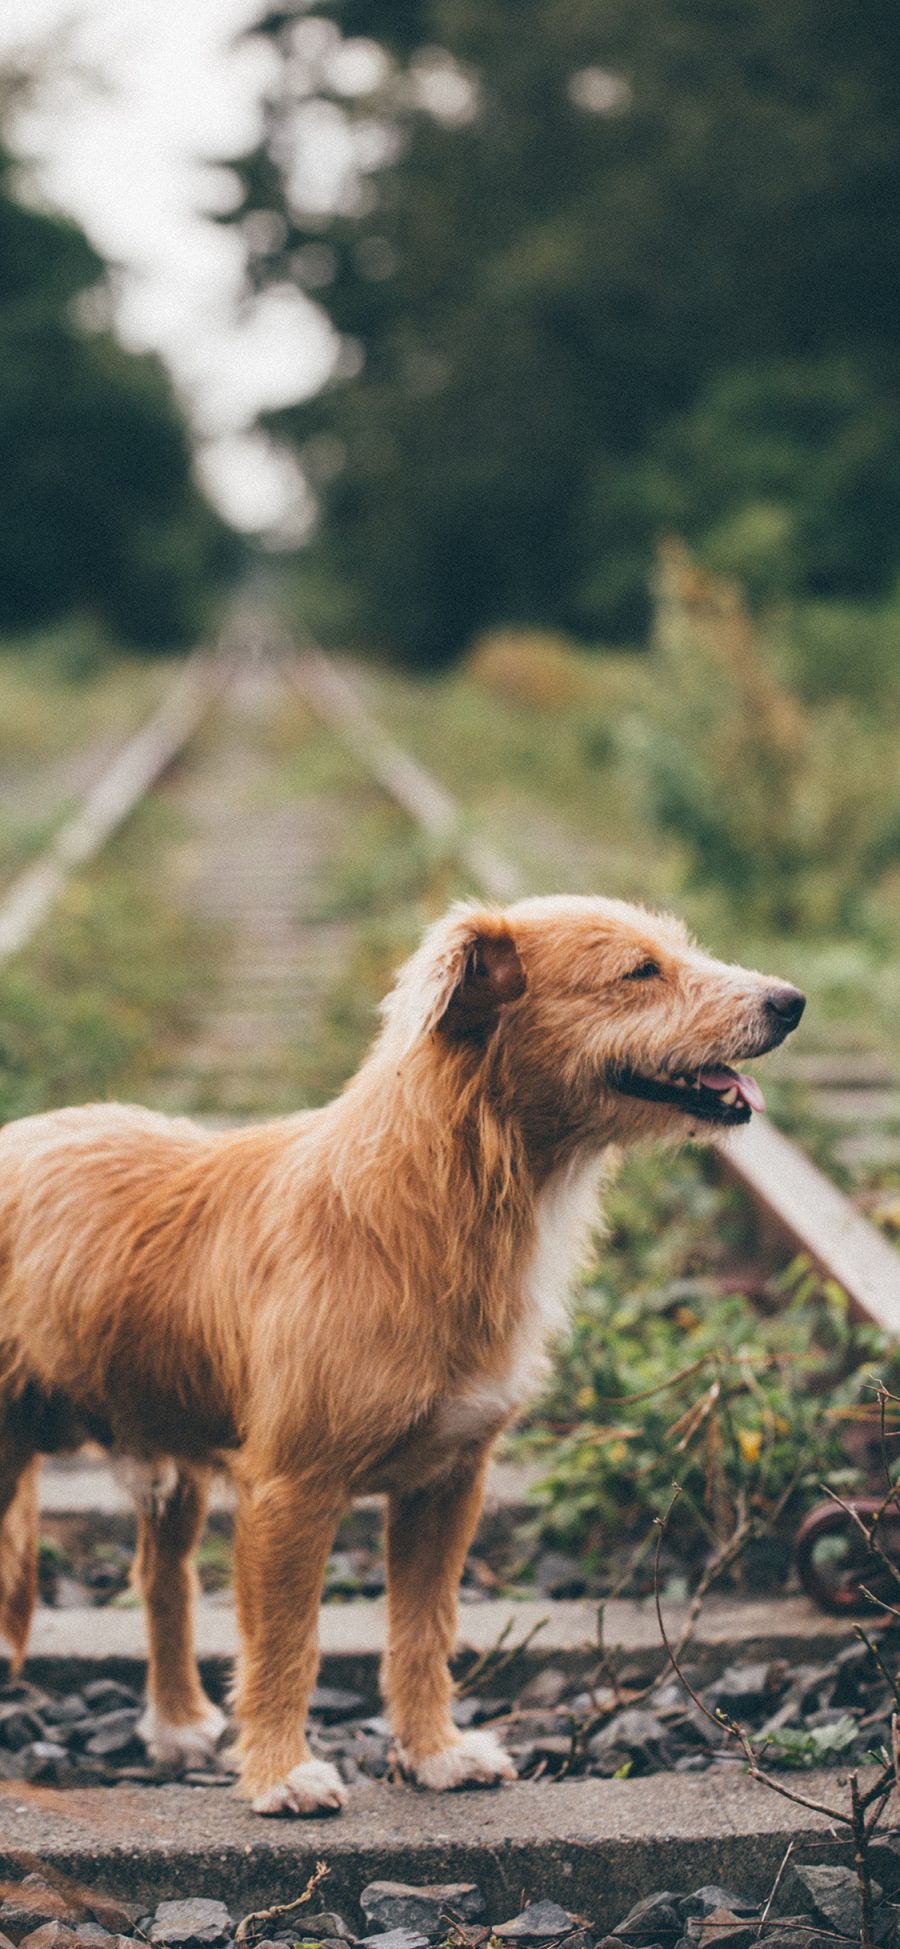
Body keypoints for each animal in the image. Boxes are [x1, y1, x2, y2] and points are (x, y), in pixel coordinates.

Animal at [0, 896, 806, 1808]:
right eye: (640, 971)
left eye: (682, 947)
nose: (791, 1001)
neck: (443, 1199)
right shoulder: (291, 1489)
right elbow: (286, 1642)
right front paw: (280, 1771)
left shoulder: (447, 1482)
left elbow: (424, 1629)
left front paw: (435, 1752)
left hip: (171, 1458)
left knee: (161, 1579)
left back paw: (175, 1723)